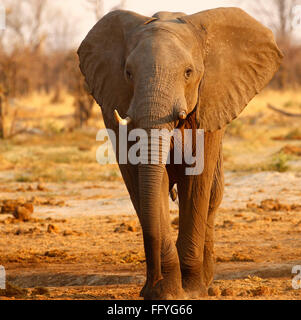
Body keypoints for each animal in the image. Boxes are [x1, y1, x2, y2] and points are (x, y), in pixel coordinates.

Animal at [77, 7, 282, 298]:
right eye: (128, 73)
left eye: (188, 72)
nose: (157, 284)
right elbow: (149, 183)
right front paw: (165, 293)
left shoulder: (210, 103)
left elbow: (196, 182)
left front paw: (192, 291)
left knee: (212, 197)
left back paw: (206, 284)